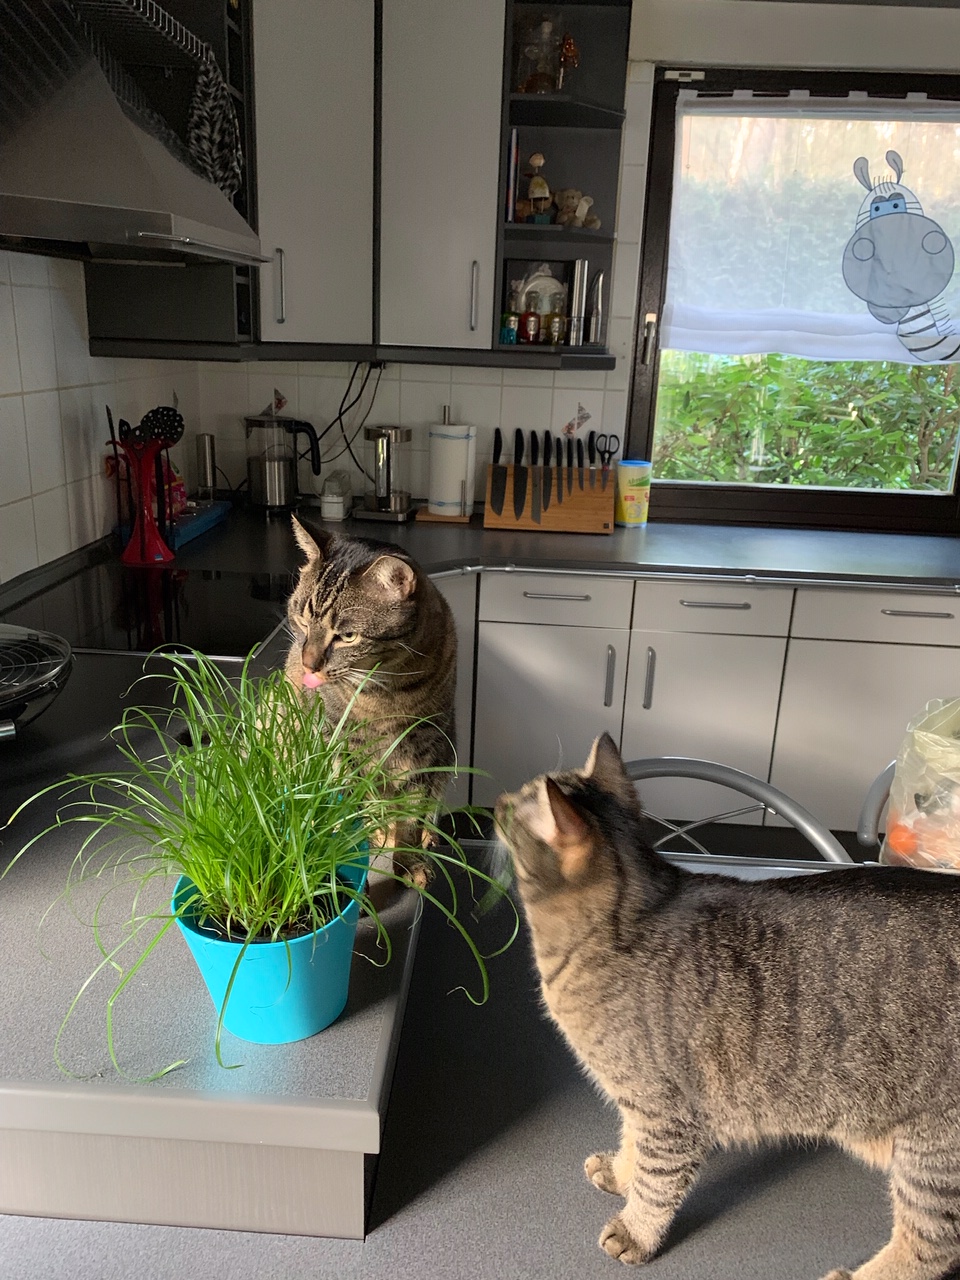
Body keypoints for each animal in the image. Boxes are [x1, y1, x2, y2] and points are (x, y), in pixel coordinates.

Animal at [284, 517, 457, 880]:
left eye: (348, 636)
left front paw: (408, 862)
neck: (386, 692)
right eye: (302, 621)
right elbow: (354, 809)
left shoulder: (423, 748)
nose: (309, 665)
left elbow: (410, 817)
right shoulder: (339, 745)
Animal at [495, 732, 960, 1280]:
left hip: (934, 1153)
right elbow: (632, 1147)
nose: (497, 799)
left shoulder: (666, 1111)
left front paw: (636, 1230)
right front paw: (619, 1171)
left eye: (513, 808)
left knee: (933, 1243)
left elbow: (655, 1183)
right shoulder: (639, 1105)